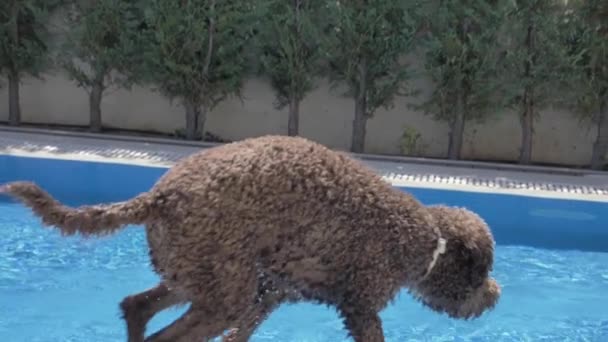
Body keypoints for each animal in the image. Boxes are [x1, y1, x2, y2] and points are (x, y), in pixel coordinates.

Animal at [1, 135, 498, 340]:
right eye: (483, 271)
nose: (495, 295)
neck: (425, 240)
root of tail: (160, 195)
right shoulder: (360, 308)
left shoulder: (268, 297)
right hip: (221, 288)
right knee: (165, 336)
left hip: (198, 275)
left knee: (136, 307)